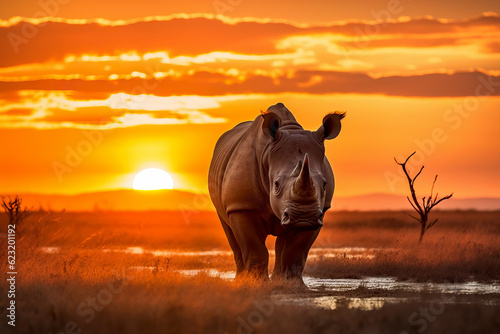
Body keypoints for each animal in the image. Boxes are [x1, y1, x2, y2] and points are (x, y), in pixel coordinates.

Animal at [207, 102, 344, 282]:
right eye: (276, 184)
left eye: (324, 184)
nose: (304, 216)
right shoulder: (242, 205)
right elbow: (255, 249)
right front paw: (256, 283)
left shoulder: (319, 212)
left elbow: (296, 251)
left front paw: (291, 284)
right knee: (230, 233)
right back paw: (240, 280)